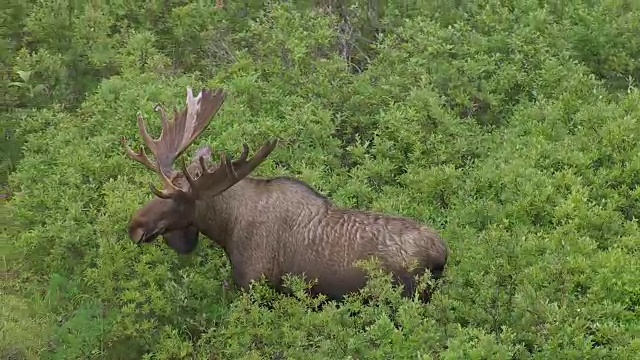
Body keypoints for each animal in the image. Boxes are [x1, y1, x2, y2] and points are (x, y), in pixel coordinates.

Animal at [121, 86, 450, 302]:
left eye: (177, 200)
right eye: (160, 190)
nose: (135, 226)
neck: (226, 228)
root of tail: (441, 252)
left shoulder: (254, 284)